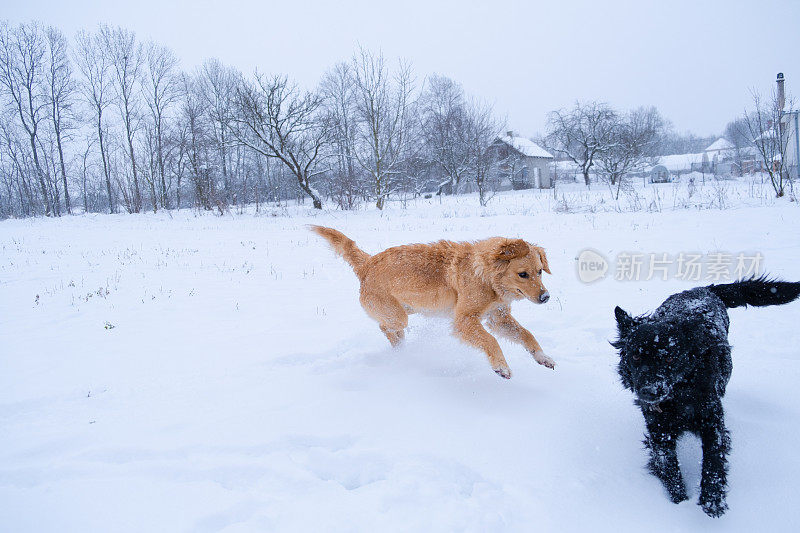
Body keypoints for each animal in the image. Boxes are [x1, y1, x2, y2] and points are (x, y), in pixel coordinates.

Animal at [616, 276, 796, 516]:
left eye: (670, 359)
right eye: (635, 356)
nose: (650, 391)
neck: (678, 395)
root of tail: (702, 289)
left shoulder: (712, 420)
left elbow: (713, 459)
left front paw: (712, 500)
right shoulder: (659, 429)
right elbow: (669, 466)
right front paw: (679, 502)